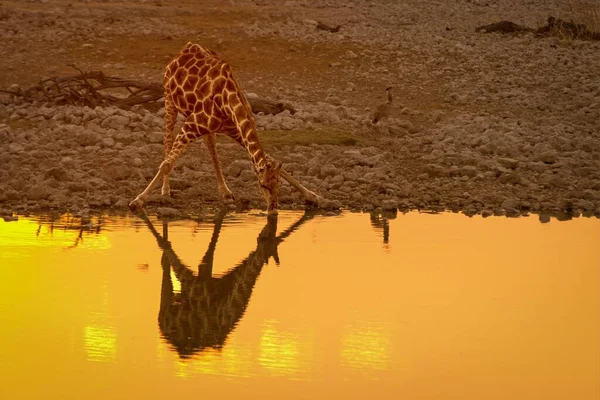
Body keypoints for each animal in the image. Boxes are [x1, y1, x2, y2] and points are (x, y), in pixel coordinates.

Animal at [129, 42, 322, 214]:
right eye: (262, 184)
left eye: (278, 184)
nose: (273, 210)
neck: (228, 102)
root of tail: (183, 50)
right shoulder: (191, 125)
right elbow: (166, 164)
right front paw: (137, 201)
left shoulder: (235, 129)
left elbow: (270, 158)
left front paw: (312, 196)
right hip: (169, 101)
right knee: (167, 141)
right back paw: (166, 190)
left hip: (205, 126)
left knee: (211, 147)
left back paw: (225, 192)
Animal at [139, 209, 316, 356]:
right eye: (268, 239)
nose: (273, 217)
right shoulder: (194, 282)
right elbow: (171, 249)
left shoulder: (206, 276)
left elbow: (212, 247)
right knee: (165, 262)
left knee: (164, 265)